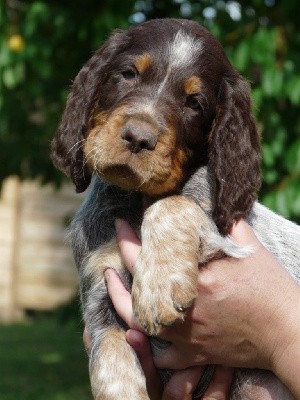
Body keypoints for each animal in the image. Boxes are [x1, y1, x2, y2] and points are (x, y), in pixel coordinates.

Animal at [51, 17, 300, 398]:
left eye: (194, 103)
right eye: (128, 74)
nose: (138, 138)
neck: (137, 201)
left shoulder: (228, 237)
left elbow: (173, 203)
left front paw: (159, 285)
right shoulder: (102, 290)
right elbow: (111, 363)